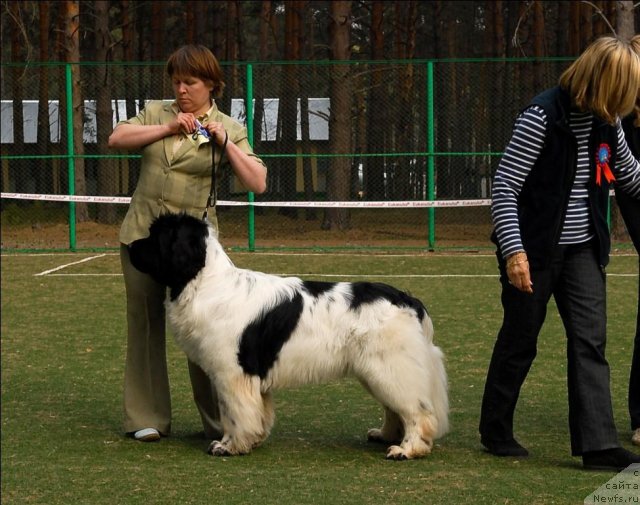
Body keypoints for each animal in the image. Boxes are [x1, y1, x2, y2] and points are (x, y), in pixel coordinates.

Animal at [129, 213, 450, 460]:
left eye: (155, 237)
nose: (130, 245)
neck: (203, 282)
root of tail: (408, 300)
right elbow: (256, 411)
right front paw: (253, 439)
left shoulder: (233, 373)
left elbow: (235, 413)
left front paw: (229, 446)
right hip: (377, 370)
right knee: (396, 408)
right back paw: (385, 435)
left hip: (390, 366)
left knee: (417, 410)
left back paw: (407, 449)